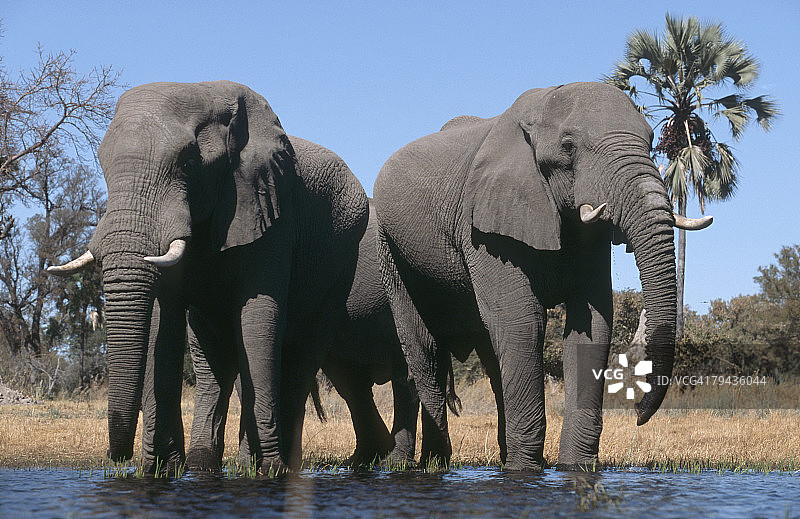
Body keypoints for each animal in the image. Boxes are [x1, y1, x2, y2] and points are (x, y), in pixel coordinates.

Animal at [48, 81, 369, 473]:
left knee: (300, 357)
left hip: (341, 265)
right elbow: (162, 323)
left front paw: (266, 470)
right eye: (102, 165)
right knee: (214, 359)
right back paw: (203, 465)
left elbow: (258, 318)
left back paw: (272, 466)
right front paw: (159, 471)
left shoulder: (270, 210)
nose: (117, 456)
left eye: (188, 165)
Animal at [372, 82, 712, 471]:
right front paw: (526, 471)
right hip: (389, 246)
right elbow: (523, 321)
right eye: (569, 147)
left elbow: (592, 323)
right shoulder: (484, 229)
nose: (639, 415)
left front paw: (574, 468)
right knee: (424, 349)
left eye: (652, 138)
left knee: (491, 355)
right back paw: (431, 465)